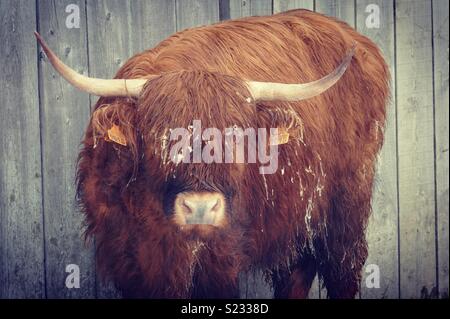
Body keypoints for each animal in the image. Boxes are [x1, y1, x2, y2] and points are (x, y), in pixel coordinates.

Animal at [36, 10, 390, 300]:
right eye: (162, 135)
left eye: (237, 137)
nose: (200, 209)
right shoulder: (127, 254)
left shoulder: (218, 257)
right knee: (295, 271)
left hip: (346, 208)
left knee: (342, 269)